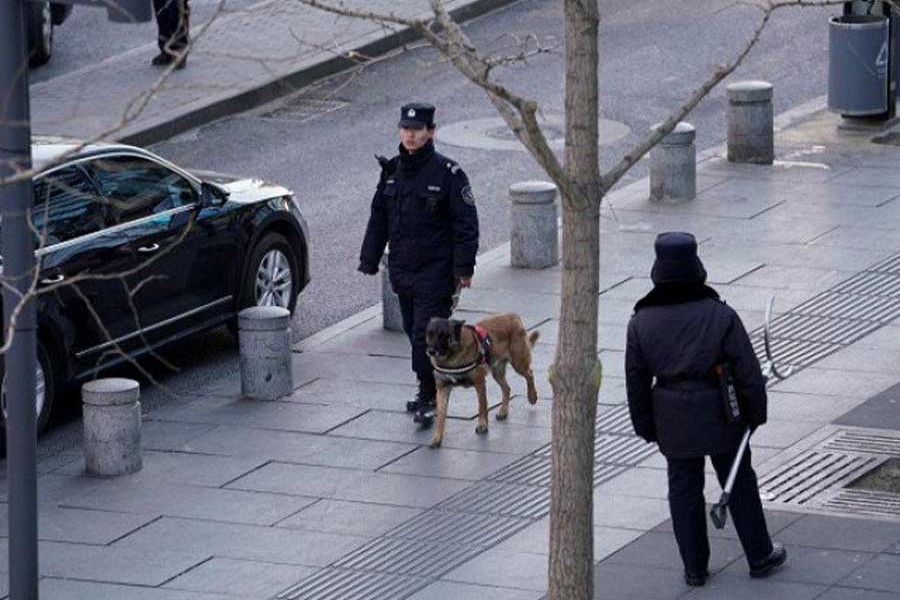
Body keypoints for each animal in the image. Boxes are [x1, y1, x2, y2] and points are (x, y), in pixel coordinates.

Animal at [424, 314, 536, 446]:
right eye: (429, 334)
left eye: (443, 335)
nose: (431, 351)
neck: (450, 357)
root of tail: (513, 316)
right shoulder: (442, 389)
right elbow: (441, 415)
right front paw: (437, 437)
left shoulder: (479, 383)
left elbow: (482, 406)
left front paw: (482, 425)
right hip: (497, 372)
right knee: (507, 388)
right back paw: (503, 411)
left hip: (518, 363)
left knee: (530, 374)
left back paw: (532, 396)